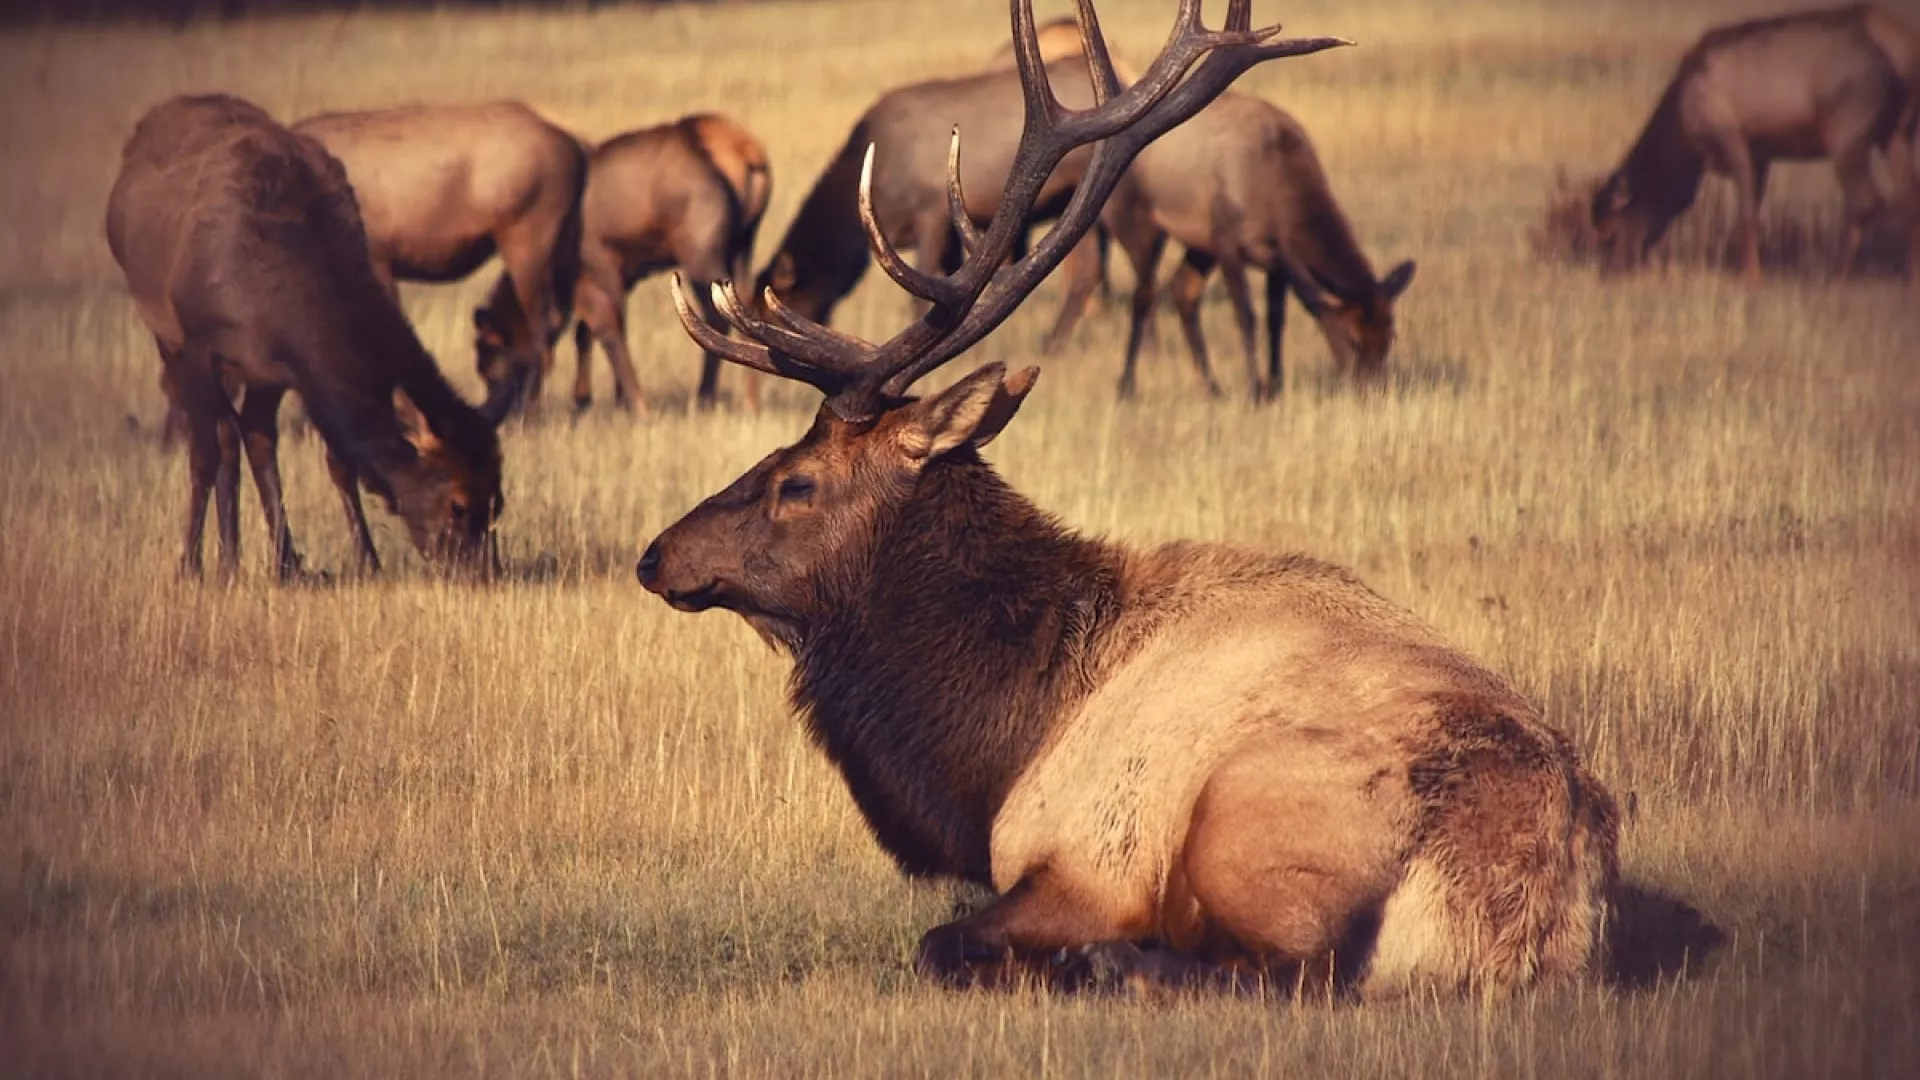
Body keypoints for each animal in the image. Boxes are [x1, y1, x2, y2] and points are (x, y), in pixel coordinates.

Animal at [108, 94, 504, 583]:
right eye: (457, 505)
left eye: (498, 500)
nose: (487, 572)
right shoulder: (197, 347)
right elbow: (202, 455)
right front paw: (188, 565)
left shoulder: (285, 369)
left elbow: (336, 461)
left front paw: (366, 560)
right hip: (163, 332)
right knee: (223, 435)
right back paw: (228, 560)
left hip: (255, 374)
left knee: (250, 435)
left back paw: (273, 560)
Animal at [473, 113, 772, 416]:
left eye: (493, 370)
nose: (509, 414)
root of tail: (746, 153)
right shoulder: (624, 272)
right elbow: (588, 331)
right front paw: (593, 399)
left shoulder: (597, 265)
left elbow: (605, 327)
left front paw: (629, 405)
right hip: (743, 245)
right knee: (745, 302)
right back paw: (750, 401)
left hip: (699, 252)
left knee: (714, 315)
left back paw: (705, 398)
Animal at [1100, 92, 1415, 400]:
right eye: (1353, 339)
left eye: (1390, 337)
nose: (1375, 391)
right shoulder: (1228, 240)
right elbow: (1246, 316)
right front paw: (1255, 389)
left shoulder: (1277, 260)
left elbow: (1275, 319)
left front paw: (1275, 386)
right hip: (1141, 221)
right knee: (1144, 295)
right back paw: (1126, 386)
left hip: (1201, 246)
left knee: (1182, 290)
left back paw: (1212, 387)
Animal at [1590, 3, 1920, 287]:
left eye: (1610, 234)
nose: (1610, 274)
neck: (1682, 141)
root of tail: (1903, 56)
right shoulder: (1762, 154)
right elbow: (1756, 211)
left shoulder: (1732, 139)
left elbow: (1746, 213)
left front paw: (1751, 277)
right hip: (1896, 133)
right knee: (1909, 197)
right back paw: (1909, 280)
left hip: (1846, 133)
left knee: (1865, 200)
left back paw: (1836, 277)